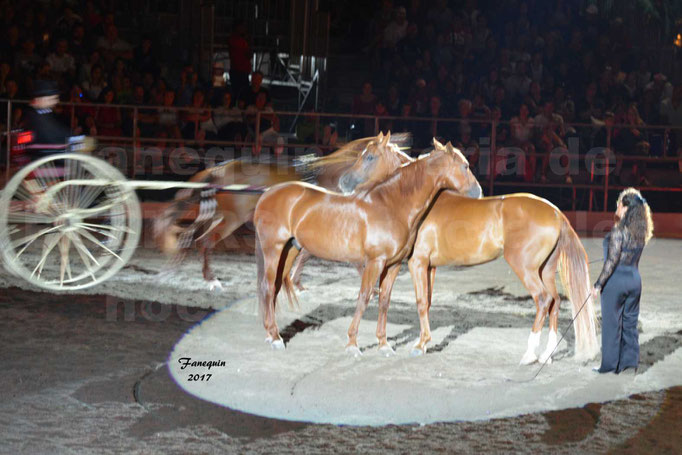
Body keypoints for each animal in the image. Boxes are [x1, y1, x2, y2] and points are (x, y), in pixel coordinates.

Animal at [250, 132, 478, 352]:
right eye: (465, 166)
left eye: (369, 157)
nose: (478, 191)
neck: (391, 205)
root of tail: (267, 194)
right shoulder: (375, 262)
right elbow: (364, 297)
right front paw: (352, 344)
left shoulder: (394, 265)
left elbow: (385, 300)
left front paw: (384, 344)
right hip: (273, 250)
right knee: (268, 286)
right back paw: (275, 338)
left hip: (289, 251)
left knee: (275, 287)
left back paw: (271, 333)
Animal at [338, 138, 596, 364]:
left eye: (369, 156)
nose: (343, 182)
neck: (423, 204)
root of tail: (556, 212)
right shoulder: (430, 266)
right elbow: (427, 302)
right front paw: (425, 342)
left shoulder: (417, 263)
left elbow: (420, 302)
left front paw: (419, 346)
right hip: (546, 270)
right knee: (554, 302)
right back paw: (546, 356)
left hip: (525, 268)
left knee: (542, 300)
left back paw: (529, 355)